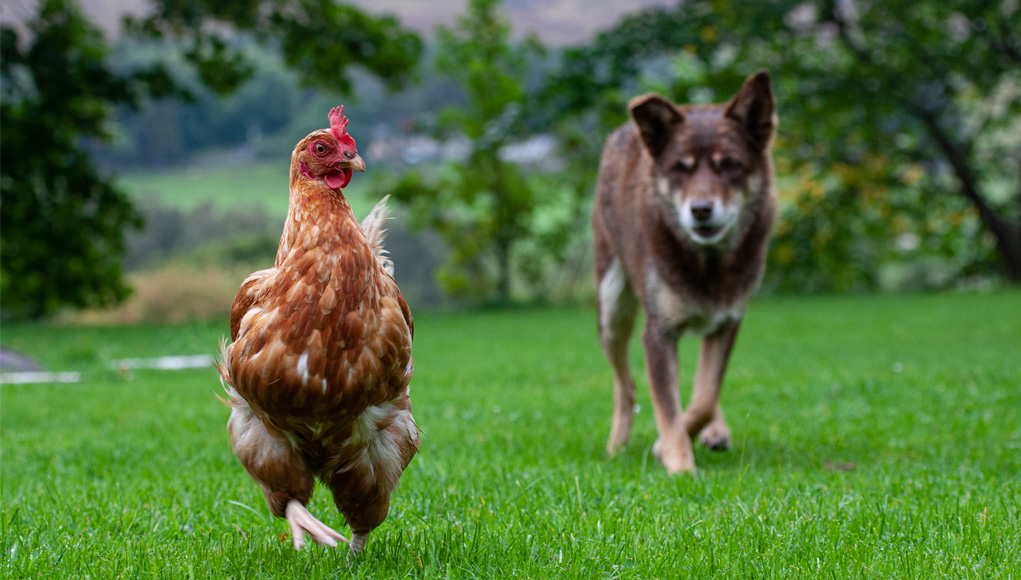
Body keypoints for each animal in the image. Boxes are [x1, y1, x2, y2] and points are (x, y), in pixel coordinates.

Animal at [592, 70, 771, 473]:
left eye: (729, 164)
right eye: (680, 168)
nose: (701, 209)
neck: (706, 263)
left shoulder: (727, 322)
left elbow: (704, 396)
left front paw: (678, 442)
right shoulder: (657, 331)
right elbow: (668, 406)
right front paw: (678, 464)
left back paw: (715, 431)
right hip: (611, 308)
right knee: (625, 385)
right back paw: (616, 444)